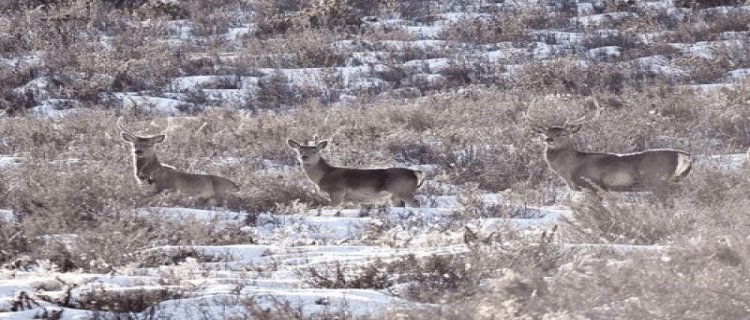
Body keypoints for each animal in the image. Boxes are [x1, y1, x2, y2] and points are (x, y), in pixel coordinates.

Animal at [288, 138, 426, 208]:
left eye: (315, 150)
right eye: (299, 150)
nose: (304, 157)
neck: (322, 177)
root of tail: (415, 173)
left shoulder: (337, 192)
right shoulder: (353, 200)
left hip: (403, 191)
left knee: (417, 203)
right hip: (395, 196)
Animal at [528, 98, 692, 198]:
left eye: (563, 133)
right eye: (545, 133)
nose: (549, 139)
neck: (570, 169)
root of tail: (684, 155)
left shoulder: (592, 186)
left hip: (657, 181)